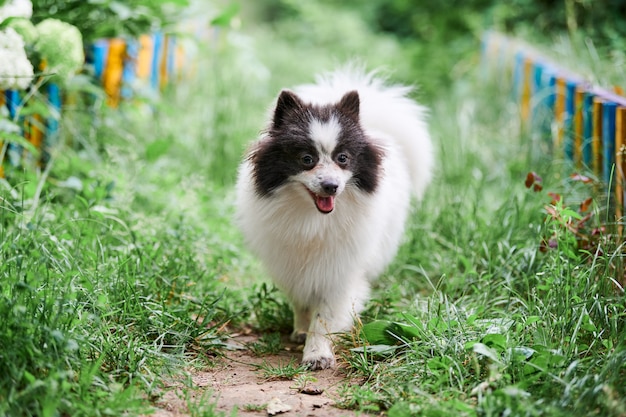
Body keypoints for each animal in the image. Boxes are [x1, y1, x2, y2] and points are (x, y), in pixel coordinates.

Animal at [234, 66, 434, 368]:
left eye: (343, 158)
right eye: (306, 159)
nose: (331, 186)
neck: (313, 219)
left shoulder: (340, 269)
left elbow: (325, 315)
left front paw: (317, 352)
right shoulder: (289, 261)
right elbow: (301, 301)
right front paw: (301, 329)